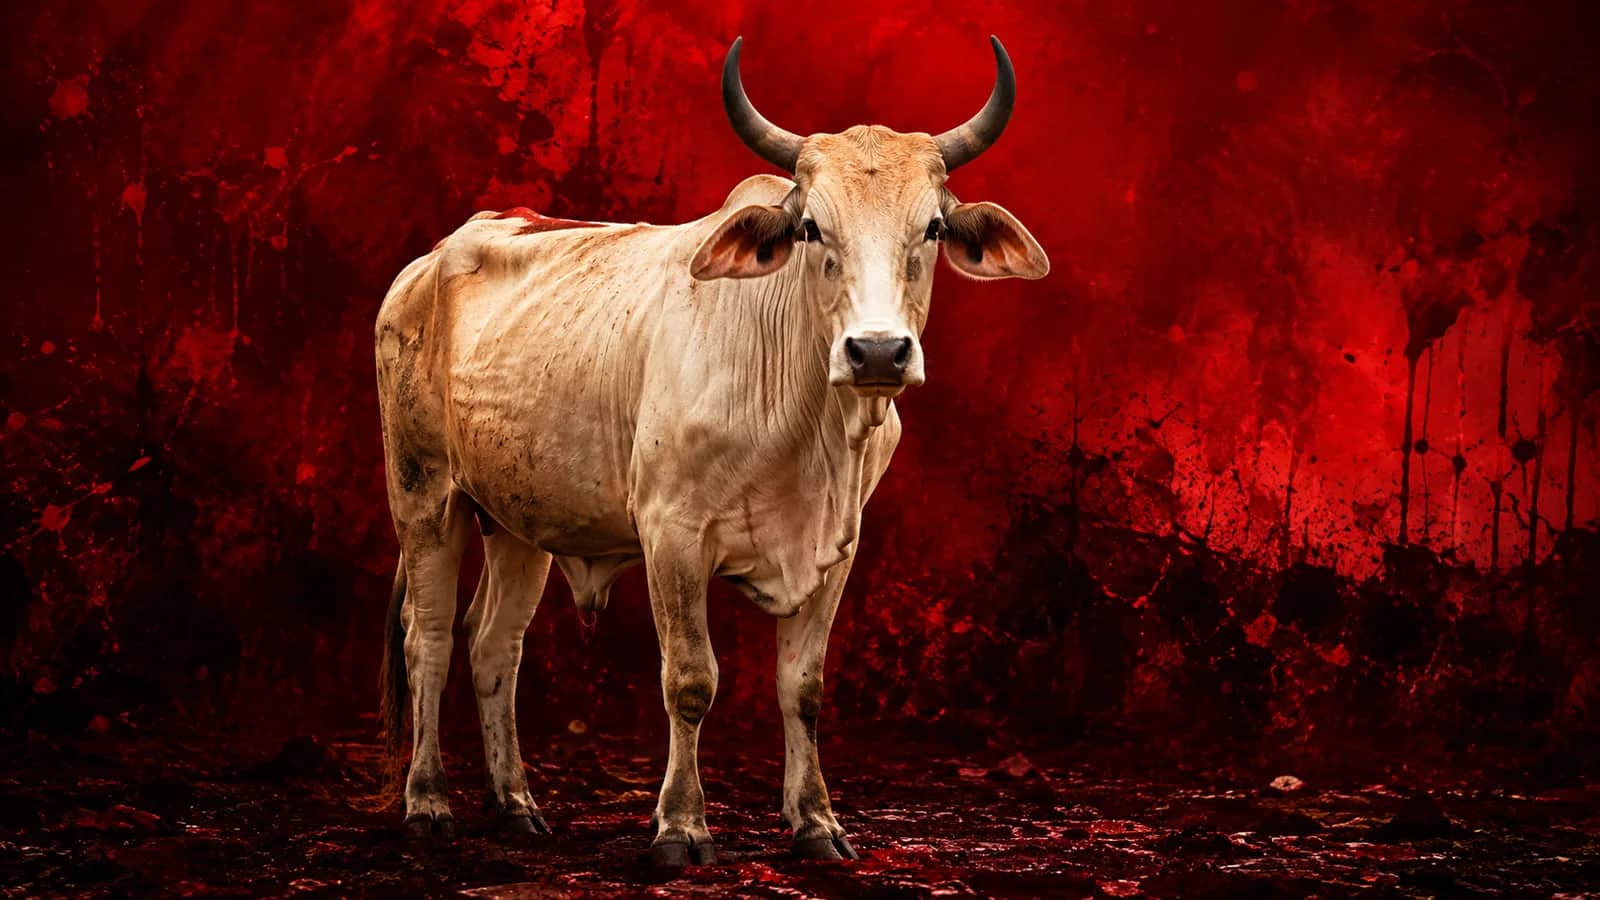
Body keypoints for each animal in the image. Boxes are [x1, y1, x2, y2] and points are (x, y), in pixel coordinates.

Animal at [374, 36, 1048, 865]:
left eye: (931, 229)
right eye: (811, 229)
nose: (878, 352)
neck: (808, 427)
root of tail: (432, 258)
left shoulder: (839, 548)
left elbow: (803, 688)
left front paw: (816, 821)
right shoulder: (672, 536)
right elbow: (691, 681)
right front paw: (680, 826)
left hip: (519, 521)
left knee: (494, 644)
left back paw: (516, 806)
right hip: (425, 497)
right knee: (429, 639)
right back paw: (428, 802)